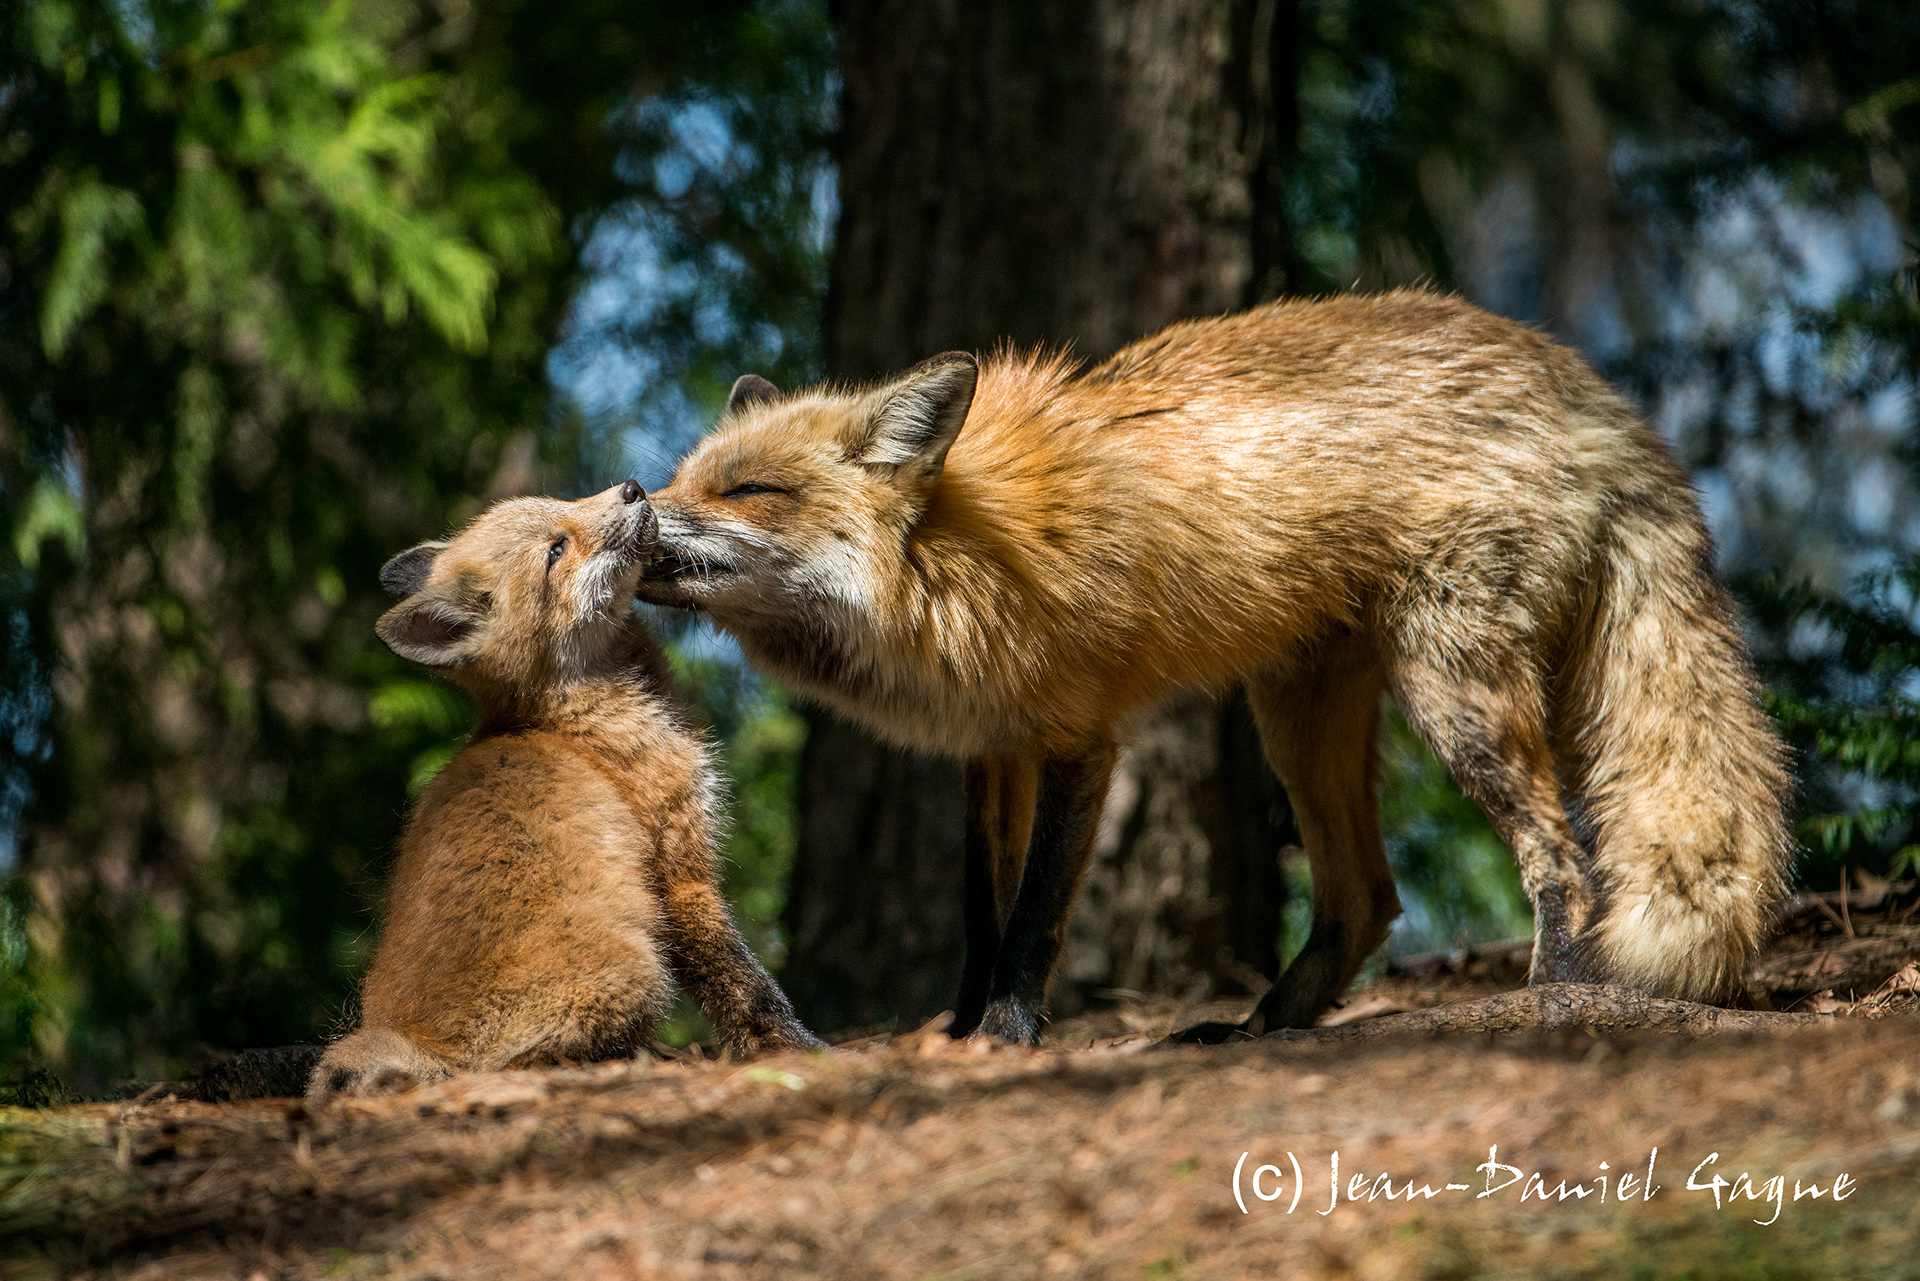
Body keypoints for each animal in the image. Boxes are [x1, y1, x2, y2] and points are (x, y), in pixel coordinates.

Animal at [309, 480, 818, 1098]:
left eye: (563, 503)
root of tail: (413, 1039)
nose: (633, 488)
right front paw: (799, 1050)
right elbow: (749, 988)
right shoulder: (682, 870)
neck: (570, 718)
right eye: (555, 551)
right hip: (633, 971)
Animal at [634, 289, 1793, 1046]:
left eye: (747, 490)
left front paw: (1007, 1032)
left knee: (1559, 854)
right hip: (1299, 721)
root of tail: (1594, 396)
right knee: (1366, 900)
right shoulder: (991, 749)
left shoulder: (1082, 741)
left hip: (1454, 693)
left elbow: (1034, 918)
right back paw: (1261, 1027)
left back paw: (1545, 994)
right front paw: (954, 1031)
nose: (634, 502)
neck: (962, 558)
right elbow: (979, 910)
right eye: (691, 476)